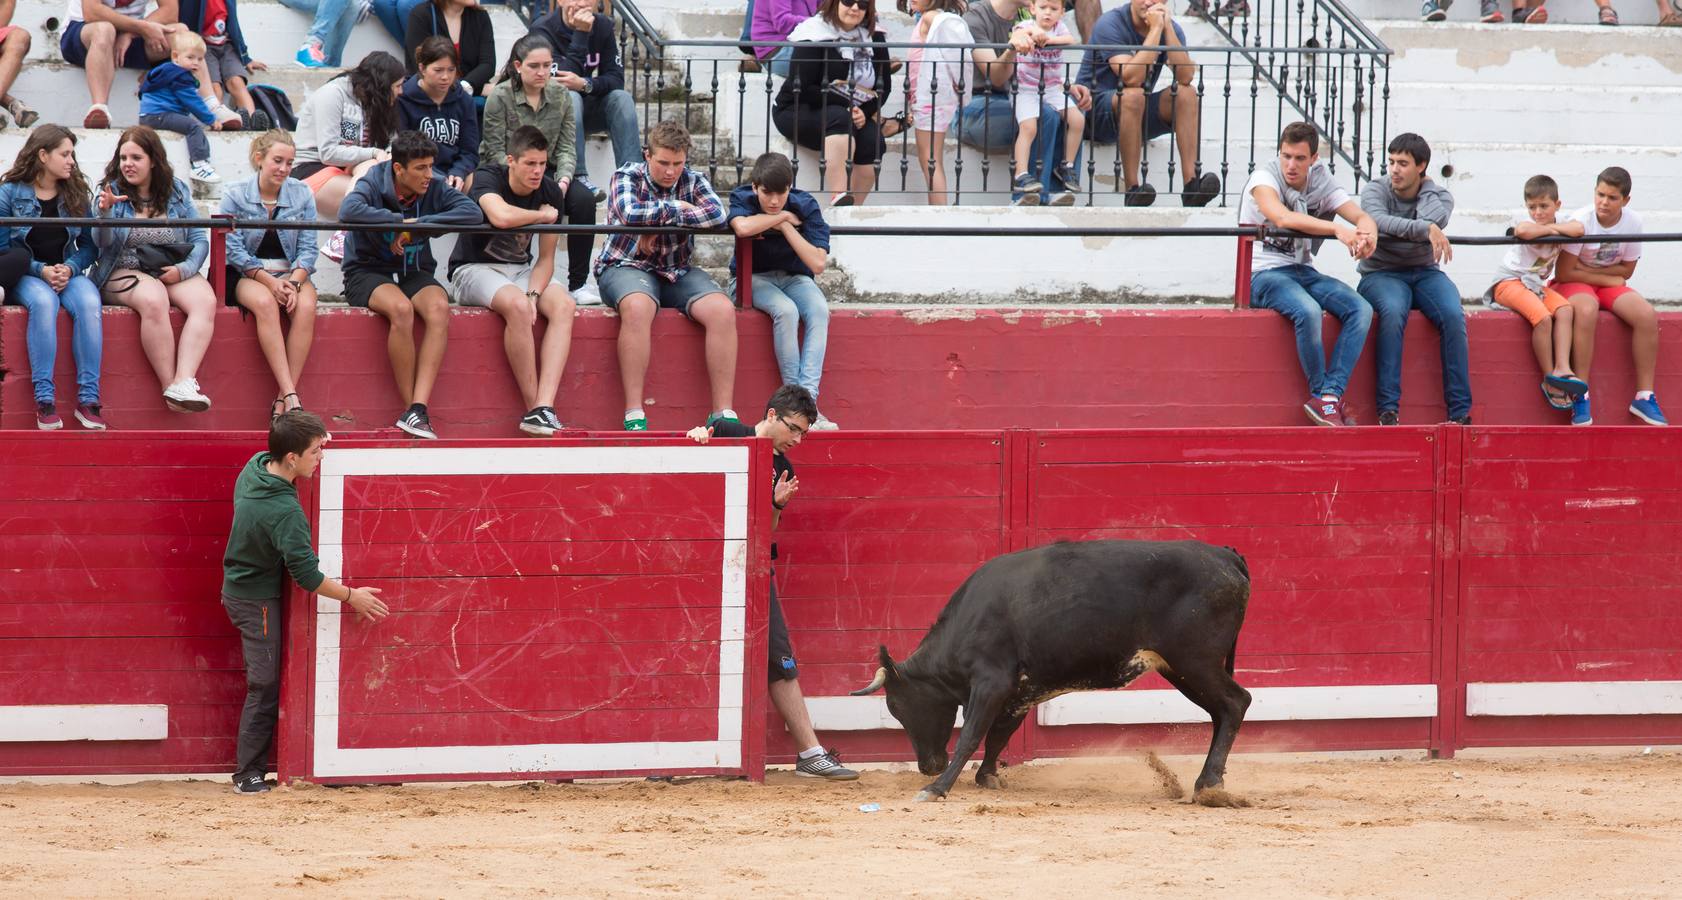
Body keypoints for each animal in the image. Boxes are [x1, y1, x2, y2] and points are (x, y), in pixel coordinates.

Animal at [854, 541, 1251, 804]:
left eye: (899, 707)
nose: (927, 767)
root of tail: (1225, 555)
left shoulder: (990, 683)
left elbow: (971, 735)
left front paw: (936, 789)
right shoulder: (1020, 692)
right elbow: (999, 735)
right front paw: (987, 776)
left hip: (1195, 662)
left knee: (1236, 702)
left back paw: (1208, 784)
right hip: (1183, 669)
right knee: (1222, 711)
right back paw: (1209, 782)